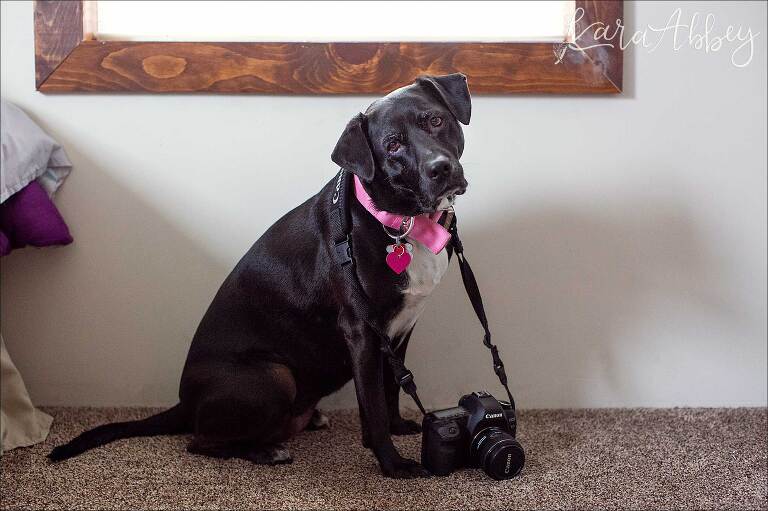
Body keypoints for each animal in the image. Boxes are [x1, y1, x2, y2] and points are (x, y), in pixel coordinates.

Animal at [49, 73, 468, 480]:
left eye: (435, 121)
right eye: (392, 145)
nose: (441, 168)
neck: (403, 223)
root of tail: (185, 403)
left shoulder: (401, 328)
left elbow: (392, 388)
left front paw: (398, 427)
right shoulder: (362, 331)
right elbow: (375, 405)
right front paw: (392, 464)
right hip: (274, 374)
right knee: (199, 442)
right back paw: (267, 450)